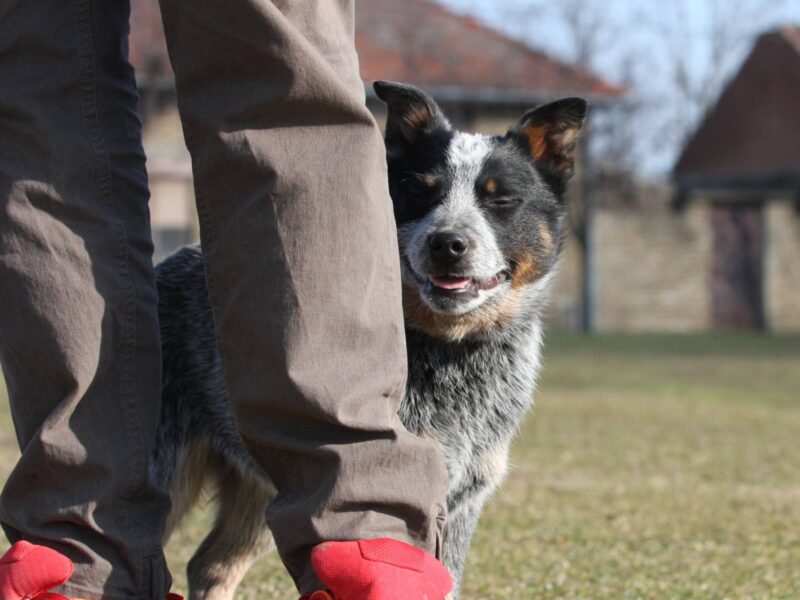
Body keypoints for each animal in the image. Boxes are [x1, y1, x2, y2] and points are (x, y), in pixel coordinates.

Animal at [152, 81, 588, 600]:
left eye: (500, 201)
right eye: (419, 191)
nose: (447, 243)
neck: (450, 350)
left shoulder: (463, 497)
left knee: (210, 564)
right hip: (167, 472)